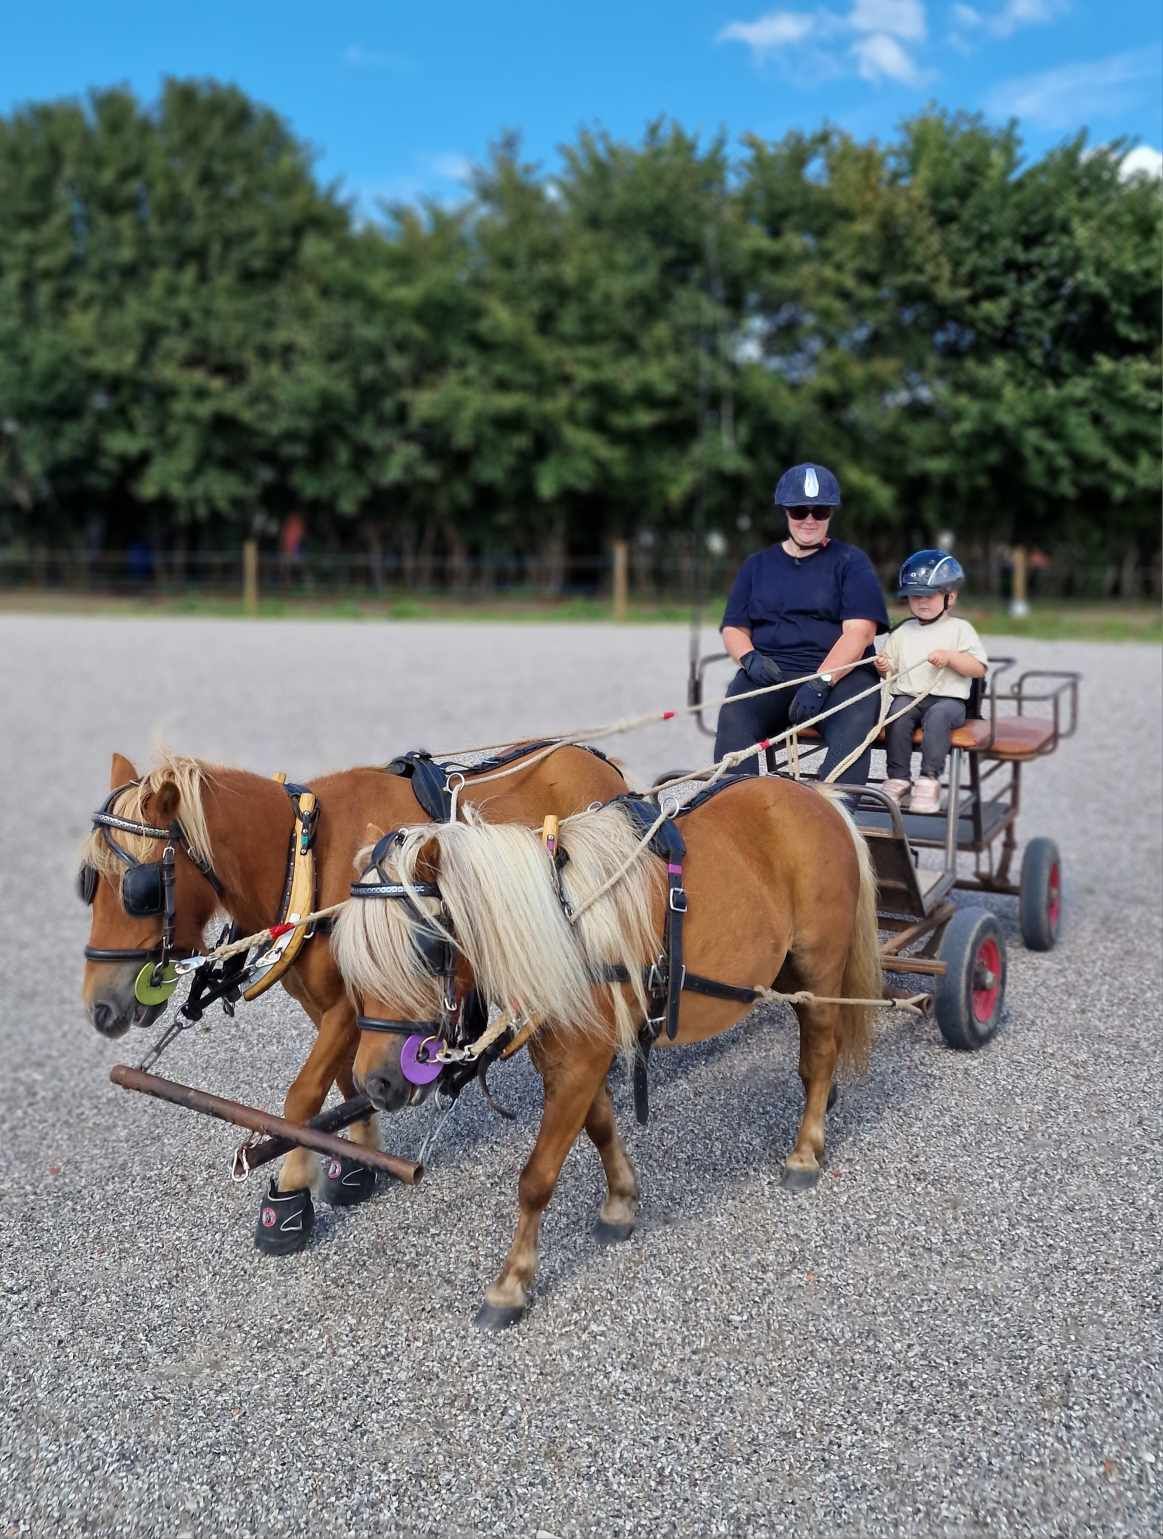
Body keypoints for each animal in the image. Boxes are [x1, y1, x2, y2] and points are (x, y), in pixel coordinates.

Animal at [336, 775, 879, 1329]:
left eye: (426, 948)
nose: (375, 1082)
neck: (560, 926)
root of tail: (818, 797)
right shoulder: (572, 1057)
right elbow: (599, 1128)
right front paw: (620, 1202)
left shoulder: (580, 1060)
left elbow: (536, 1177)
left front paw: (511, 1284)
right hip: (786, 973)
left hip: (819, 969)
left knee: (819, 1055)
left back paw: (806, 1150)